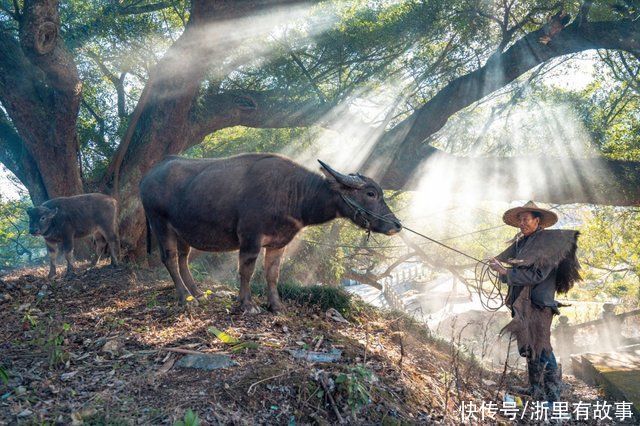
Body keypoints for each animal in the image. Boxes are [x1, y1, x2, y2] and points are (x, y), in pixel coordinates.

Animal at [140, 153, 400, 312]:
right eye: (370, 193)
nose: (396, 225)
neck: (292, 192)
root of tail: (148, 175)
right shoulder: (250, 237)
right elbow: (246, 271)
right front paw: (247, 304)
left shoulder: (278, 243)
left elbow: (272, 273)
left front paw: (276, 305)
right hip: (159, 223)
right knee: (170, 258)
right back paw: (184, 298)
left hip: (182, 231)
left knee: (183, 259)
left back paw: (197, 293)